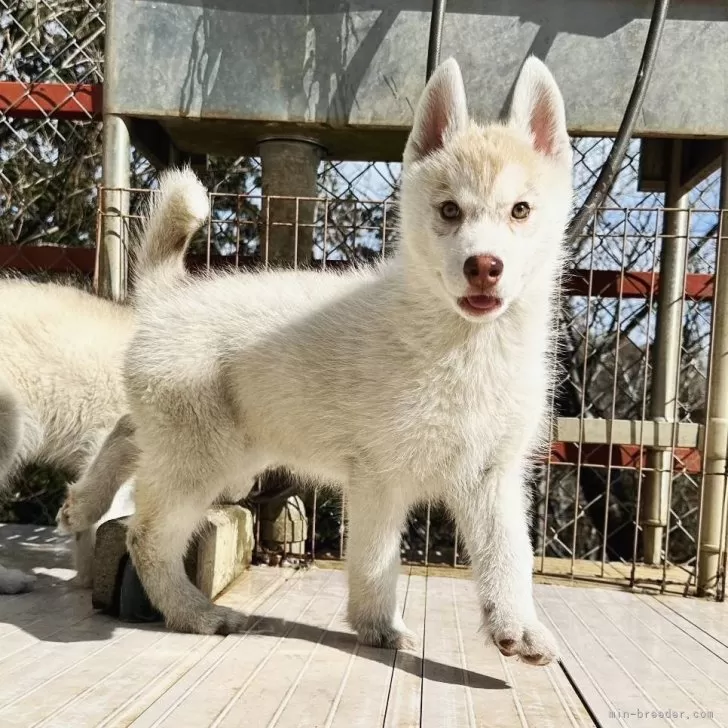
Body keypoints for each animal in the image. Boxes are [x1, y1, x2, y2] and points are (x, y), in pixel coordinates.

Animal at [125, 57, 576, 664]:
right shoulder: (378, 477)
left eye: (521, 210)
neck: (464, 349)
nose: (484, 266)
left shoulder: (492, 475)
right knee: (146, 535)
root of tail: (163, 298)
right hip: (197, 465)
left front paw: (518, 628)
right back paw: (195, 614)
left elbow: (511, 557)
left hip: (232, 460)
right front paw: (377, 627)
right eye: (450, 210)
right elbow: (374, 562)